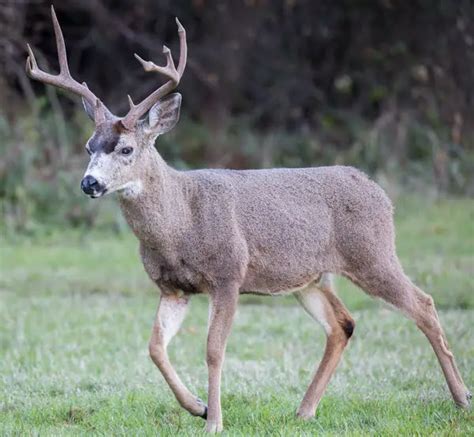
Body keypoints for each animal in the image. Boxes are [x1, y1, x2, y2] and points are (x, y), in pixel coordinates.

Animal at [26, 5, 470, 432]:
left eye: (126, 149)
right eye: (89, 146)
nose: (89, 183)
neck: (181, 221)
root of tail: (379, 192)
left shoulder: (228, 273)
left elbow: (213, 349)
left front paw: (214, 422)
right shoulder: (173, 287)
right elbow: (155, 347)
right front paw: (198, 407)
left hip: (372, 254)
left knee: (424, 304)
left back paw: (461, 397)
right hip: (311, 277)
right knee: (342, 324)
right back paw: (304, 411)